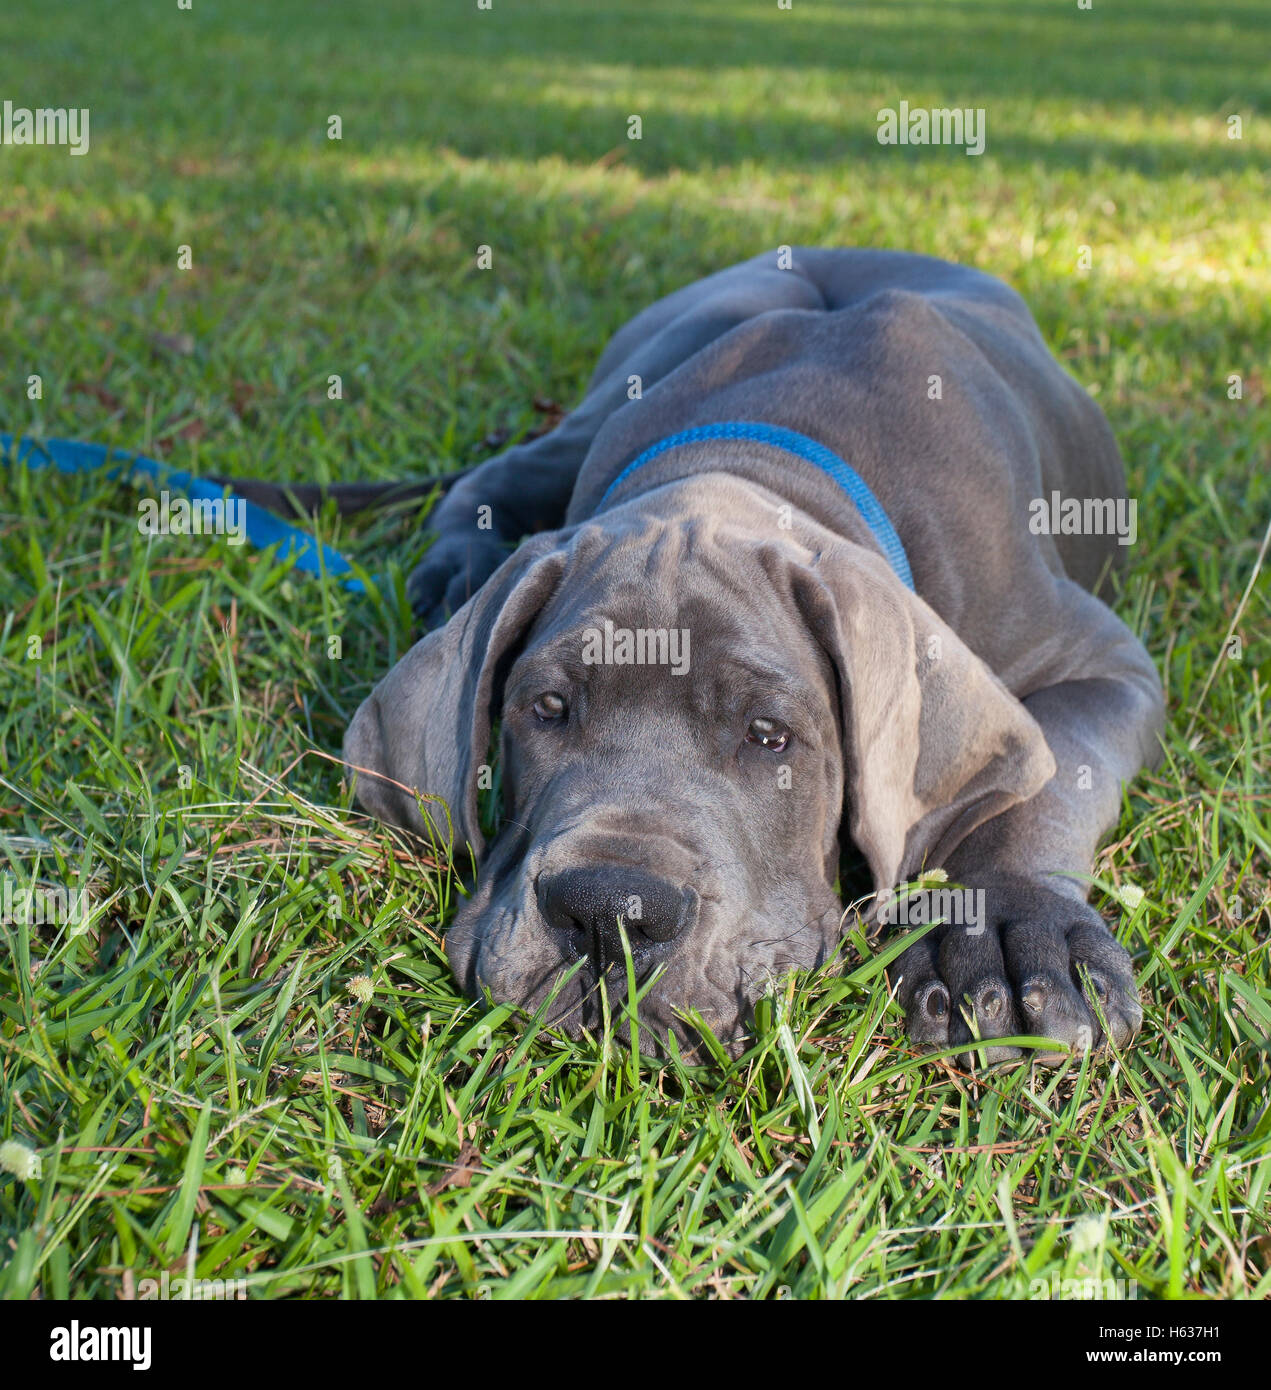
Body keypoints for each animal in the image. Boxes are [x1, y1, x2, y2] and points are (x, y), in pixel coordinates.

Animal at [342, 250, 1162, 1056]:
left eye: (769, 735)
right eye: (546, 706)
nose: (608, 912)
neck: (765, 452)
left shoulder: (1104, 661)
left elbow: (1049, 785)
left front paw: (1008, 930)